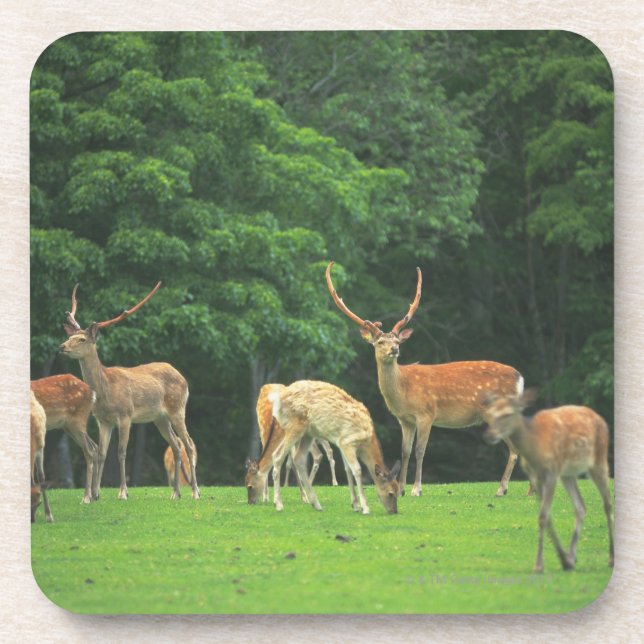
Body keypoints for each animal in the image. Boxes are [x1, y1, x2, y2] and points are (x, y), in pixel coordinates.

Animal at [31, 374, 97, 504]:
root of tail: (92, 392)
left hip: (77, 420)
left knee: (89, 450)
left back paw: (86, 497)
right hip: (68, 426)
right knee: (95, 446)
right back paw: (95, 495)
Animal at [59, 282, 199, 501]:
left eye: (82, 339)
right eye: (69, 336)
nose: (62, 346)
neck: (106, 390)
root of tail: (182, 376)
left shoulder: (125, 415)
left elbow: (121, 452)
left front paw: (123, 492)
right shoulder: (103, 420)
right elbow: (102, 453)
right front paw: (96, 493)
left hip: (178, 408)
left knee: (189, 444)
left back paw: (195, 492)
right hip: (160, 417)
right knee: (176, 445)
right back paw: (175, 493)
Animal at [264, 380, 400, 514]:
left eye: (400, 492)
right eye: (390, 493)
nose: (394, 511)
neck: (366, 441)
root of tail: (277, 399)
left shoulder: (341, 443)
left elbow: (347, 469)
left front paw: (355, 505)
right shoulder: (347, 441)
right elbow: (357, 469)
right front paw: (365, 507)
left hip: (307, 433)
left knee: (298, 459)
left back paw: (316, 504)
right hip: (295, 426)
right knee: (277, 456)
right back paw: (278, 504)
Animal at [326, 261, 526, 498]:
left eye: (397, 341)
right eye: (380, 342)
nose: (394, 350)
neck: (403, 390)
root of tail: (520, 378)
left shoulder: (426, 413)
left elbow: (420, 451)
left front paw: (416, 489)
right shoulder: (405, 419)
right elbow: (404, 451)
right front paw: (401, 489)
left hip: (496, 410)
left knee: (515, 447)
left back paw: (502, 489)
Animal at [482, 390, 614, 573]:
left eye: (508, 413)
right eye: (491, 413)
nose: (489, 435)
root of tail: (601, 419)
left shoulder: (551, 473)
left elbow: (543, 516)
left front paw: (539, 565)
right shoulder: (538, 477)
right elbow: (546, 516)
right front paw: (561, 560)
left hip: (598, 462)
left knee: (607, 503)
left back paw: (611, 559)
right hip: (568, 475)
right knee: (580, 507)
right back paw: (571, 557)